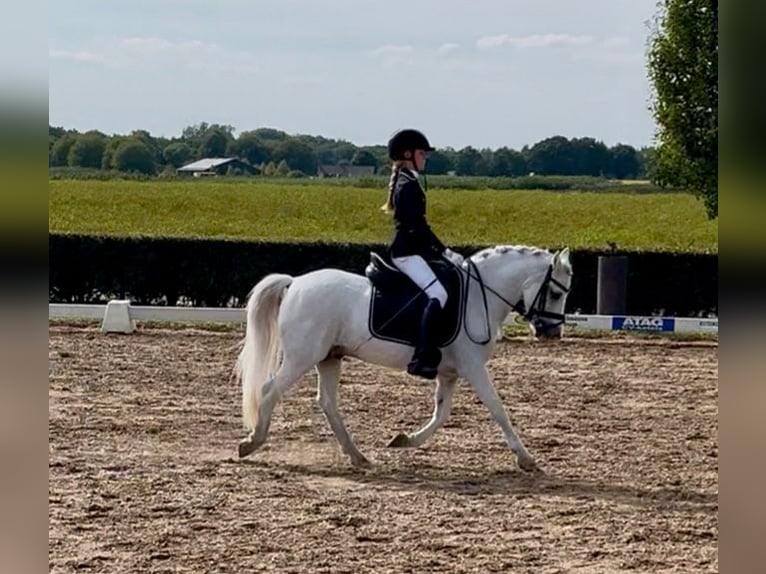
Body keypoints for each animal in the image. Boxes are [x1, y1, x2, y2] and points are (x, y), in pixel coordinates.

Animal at [235, 245, 573, 472]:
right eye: (557, 293)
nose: (552, 333)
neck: (479, 297)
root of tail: (294, 282)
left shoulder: (449, 373)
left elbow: (441, 414)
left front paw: (404, 440)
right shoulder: (473, 367)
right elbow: (497, 408)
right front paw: (526, 458)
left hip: (329, 357)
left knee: (328, 403)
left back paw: (357, 456)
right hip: (302, 357)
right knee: (270, 390)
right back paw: (252, 442)